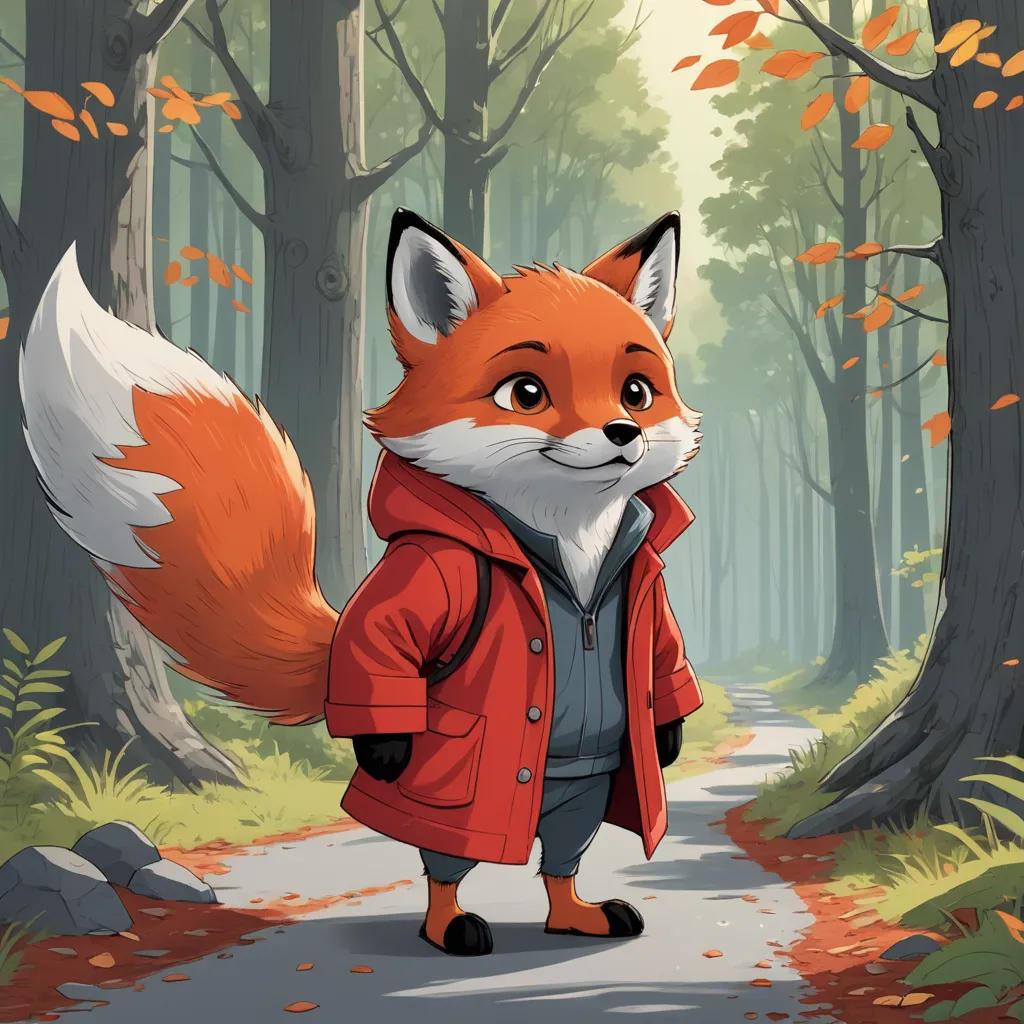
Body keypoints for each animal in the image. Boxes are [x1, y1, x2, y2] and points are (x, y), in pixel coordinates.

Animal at [21, 208, 703, 956]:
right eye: (526, 393)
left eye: (636, 392)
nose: (622, 431)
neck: (572, 550)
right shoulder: (432, 574)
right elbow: (383, 640)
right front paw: (383, 748)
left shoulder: (645, 591)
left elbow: (662, 657)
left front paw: (668, 733)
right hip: (453, 795)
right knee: (446, 860)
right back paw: (450, 925)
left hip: (588, 779)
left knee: (565, 845)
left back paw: (573, 912)